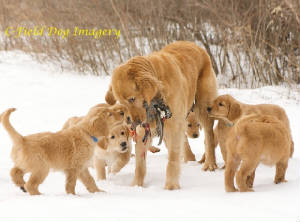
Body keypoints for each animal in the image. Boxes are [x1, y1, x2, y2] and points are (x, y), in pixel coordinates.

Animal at [106, 40, 217, 189]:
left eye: (132, 99)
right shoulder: (144, 130)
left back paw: (210, 164)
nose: (129, 121)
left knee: (209, 136)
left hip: (203, 106)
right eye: (121, 102)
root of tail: (193, 44)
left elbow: (173, 159)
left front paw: (171, 186)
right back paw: (189, 158)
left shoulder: (174, 125)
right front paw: (136, 185)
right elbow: (140, 164)